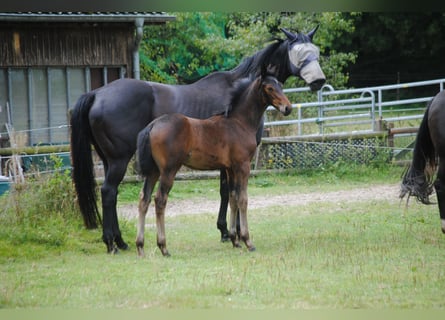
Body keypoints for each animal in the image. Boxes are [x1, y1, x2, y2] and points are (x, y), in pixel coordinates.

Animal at [135, 74, 292, 256]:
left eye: (280, 85)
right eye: (270, 88)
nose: (288, 108)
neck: (239, 122)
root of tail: (153, 125)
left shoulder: (231, 169)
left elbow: (233, 198)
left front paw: (234, 240)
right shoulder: (243, 166)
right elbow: (243, 199)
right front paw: (247, 241)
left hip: (153, 171)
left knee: (144, 200)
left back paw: (140, 246)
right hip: (168, 170)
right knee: (160, 200)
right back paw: (163, 247)